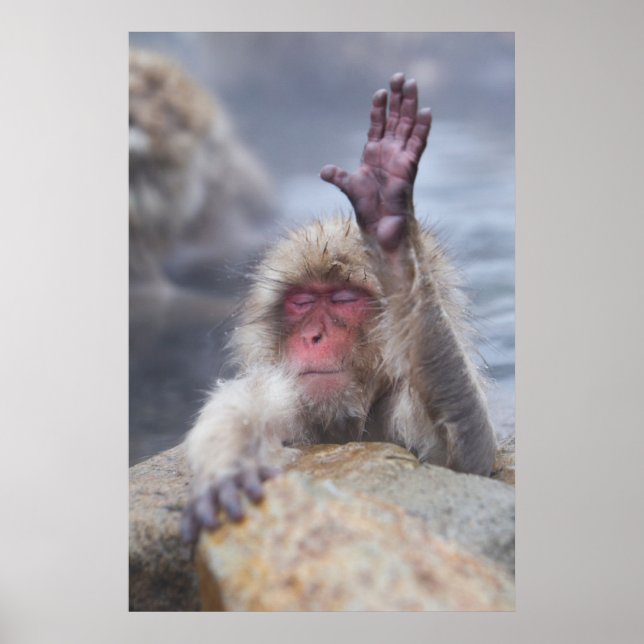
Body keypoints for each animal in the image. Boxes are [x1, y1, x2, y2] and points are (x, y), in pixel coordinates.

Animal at [181, 73, 497, 541]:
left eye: (345, 299)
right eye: (302, 302)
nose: (315, 336)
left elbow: (470, 458)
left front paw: (395, 247)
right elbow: (241, 407)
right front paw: (229, 470)